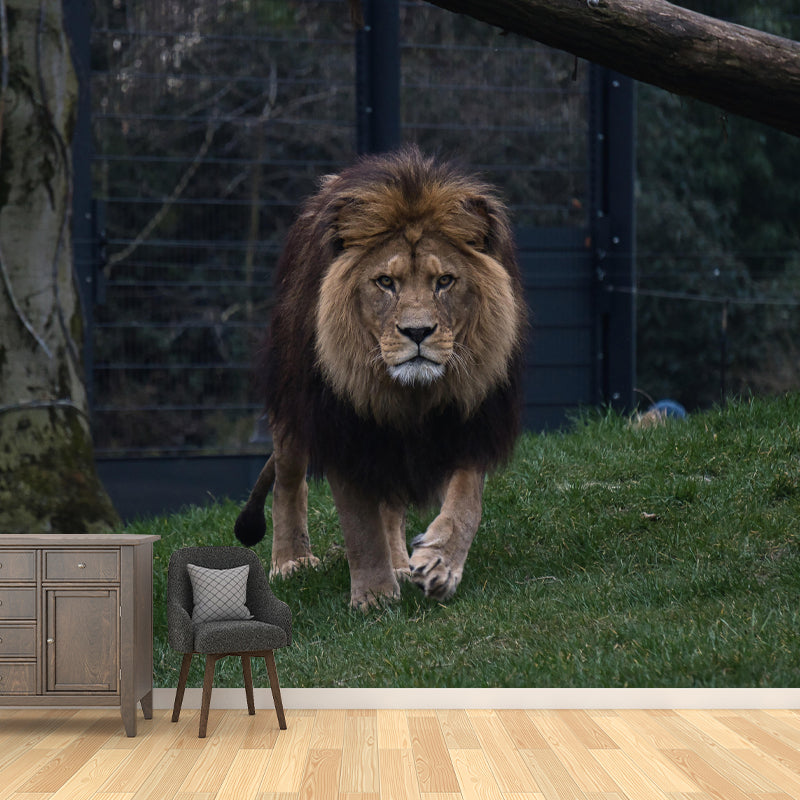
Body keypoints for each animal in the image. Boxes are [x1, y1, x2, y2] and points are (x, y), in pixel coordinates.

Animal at [235, 146, 527, 609]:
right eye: (385, 282)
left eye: (445, 281)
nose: (417, 332)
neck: (411, 394)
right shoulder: (344, 427)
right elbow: (359, 523)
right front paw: (373, 596)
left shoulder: (472, 418)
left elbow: (465, 505)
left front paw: (439, 565)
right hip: (292, 398)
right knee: (288, 480)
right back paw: (292, 560)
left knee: (390, 505)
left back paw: (401, 565)